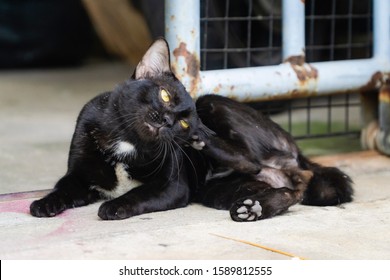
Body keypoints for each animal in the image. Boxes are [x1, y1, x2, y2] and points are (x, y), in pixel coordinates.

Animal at [30, 38, 203, 220]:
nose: (167, 120)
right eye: (165, 95)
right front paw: (45, 203)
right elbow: (62, 188)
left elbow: (140, 193)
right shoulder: (78, 175)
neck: (129, 140)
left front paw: (114, 206)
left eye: (184, 124)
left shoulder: (172, 186)